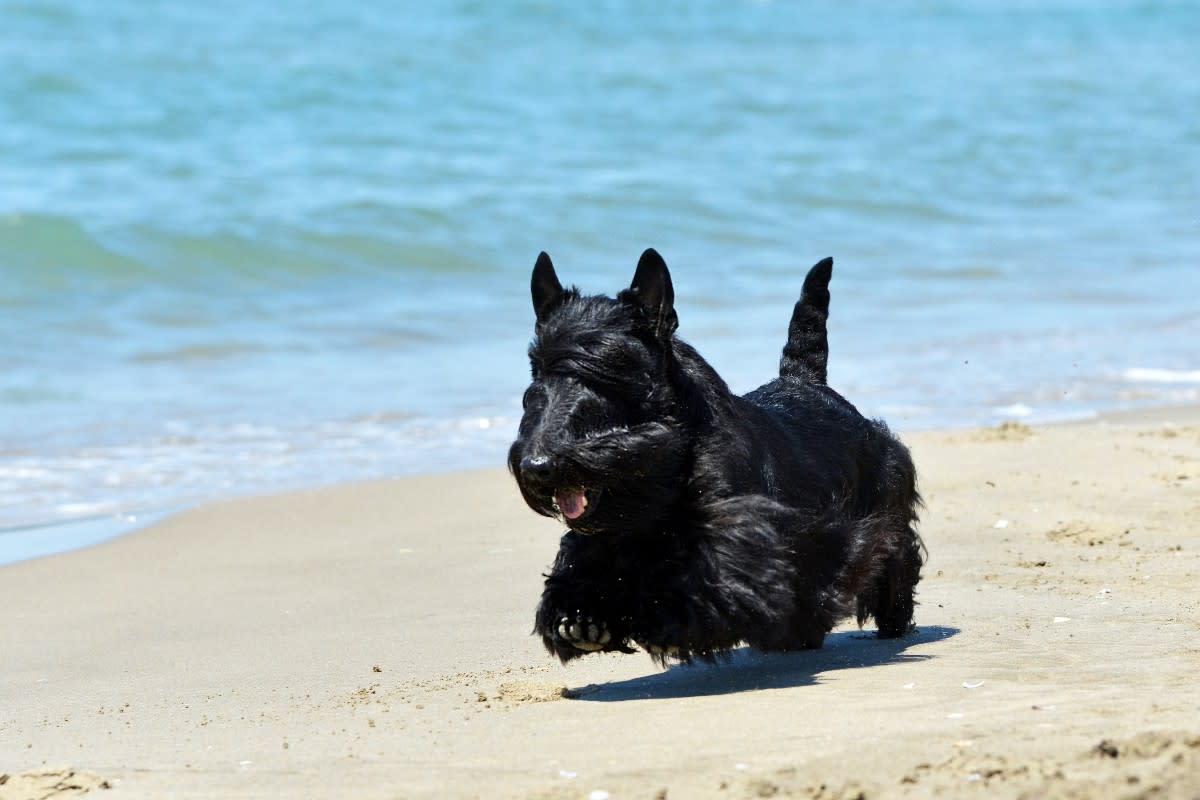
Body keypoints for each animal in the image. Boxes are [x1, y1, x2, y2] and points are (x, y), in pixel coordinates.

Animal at [511, 250, 921, 662]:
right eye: (536, 371)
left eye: (610, 369)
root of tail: (806, 380)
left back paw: (892, 619)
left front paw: (658, 616)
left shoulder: (736, 540)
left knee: (894, 552)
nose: (537, 467)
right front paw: (580, 617)